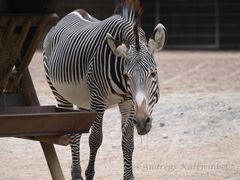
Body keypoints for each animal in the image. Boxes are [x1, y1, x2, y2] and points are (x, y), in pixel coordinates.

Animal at [43, 0, 166, 180]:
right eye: (126, 75)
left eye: (153, 73)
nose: (143, 122)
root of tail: (72, 13)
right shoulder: (98, 100)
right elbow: (95, 139)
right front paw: (89, 174)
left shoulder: (129, 104)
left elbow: (128, 142)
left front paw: (128, 177)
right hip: (61, 94)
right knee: (72, 133)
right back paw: (77, 174)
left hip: (83, 101)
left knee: (77, 132)